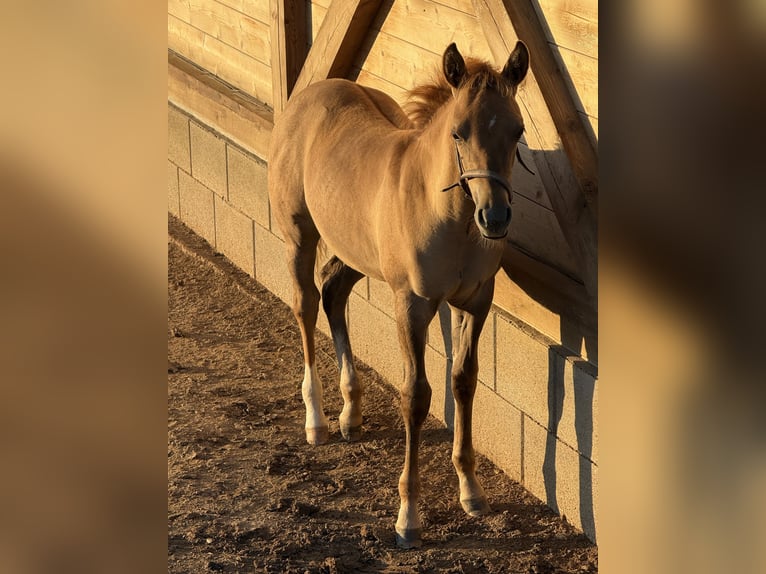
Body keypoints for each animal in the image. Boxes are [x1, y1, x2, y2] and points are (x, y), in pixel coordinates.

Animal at [268, 41, 529, 548]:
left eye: (518, 130)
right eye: (458, 132)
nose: (495, 217)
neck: (446, 214)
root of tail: (307, 95)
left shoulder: (476, 302)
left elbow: (463, 381)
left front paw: (471, 490)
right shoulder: (410, 304)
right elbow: (416, 396)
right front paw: (408, 516)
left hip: (354, 247)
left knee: (333, 291)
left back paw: (351, 412)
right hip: (299, 237)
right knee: (305, 305)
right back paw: (318, 419)